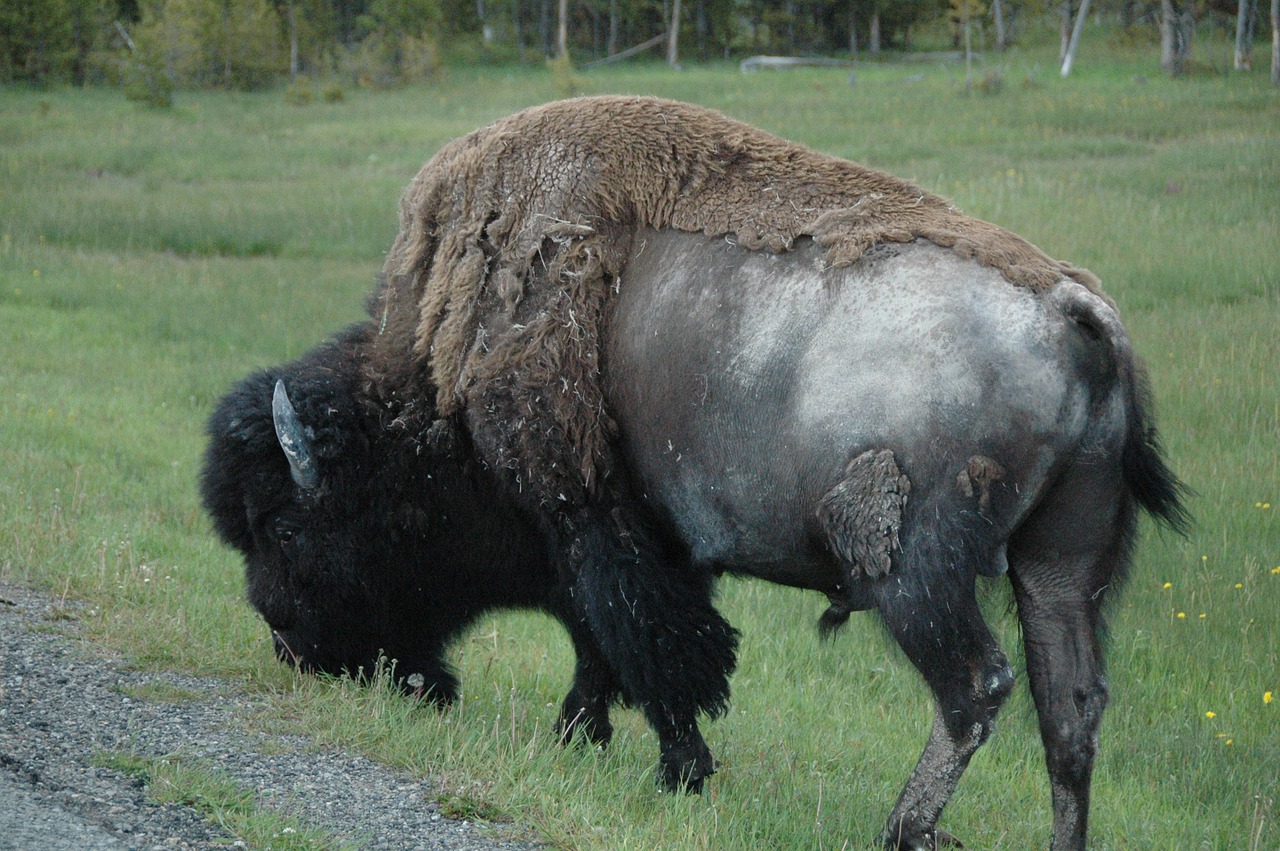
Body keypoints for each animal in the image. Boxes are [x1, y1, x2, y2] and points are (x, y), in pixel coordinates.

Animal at [202, 95, 1187, 844]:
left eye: (283, 524)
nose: (287, 640)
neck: (447, 368)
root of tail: (1076, 311)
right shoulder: (647, 542)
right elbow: (614, 645)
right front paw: (587, 741)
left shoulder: (593, 523)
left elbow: (645, 647)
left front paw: (671, 769)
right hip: (1061, 566)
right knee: (1070, 711)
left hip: (914, 569)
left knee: (975, 686)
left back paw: (901, 827)